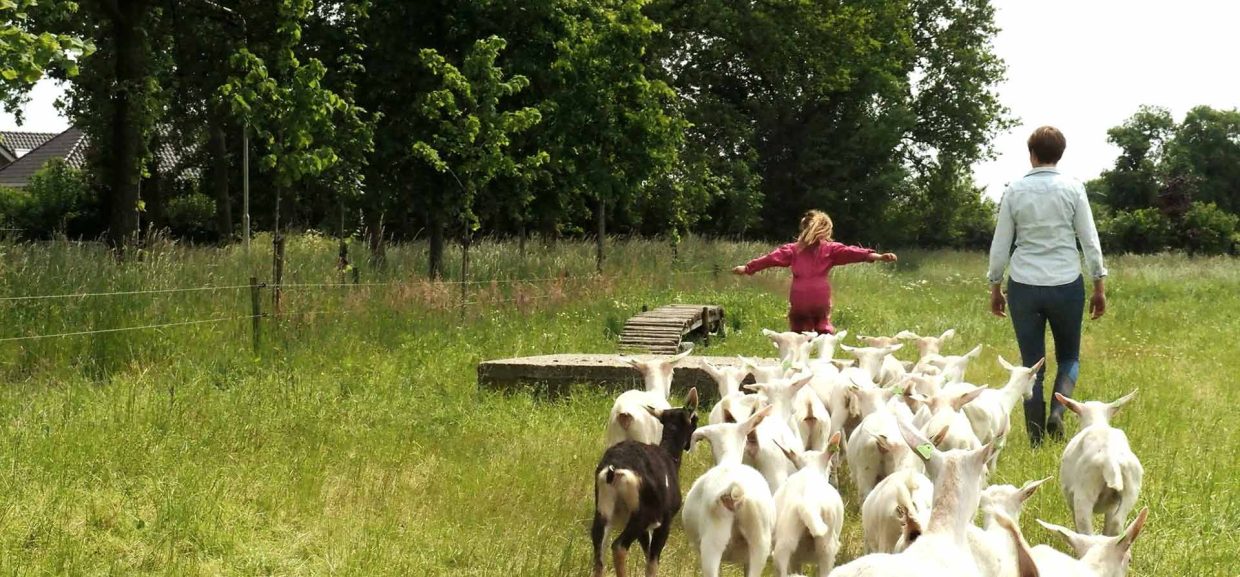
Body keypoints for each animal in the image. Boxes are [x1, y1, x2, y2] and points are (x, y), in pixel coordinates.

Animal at [590, 387, 699, 575]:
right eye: (695, 419)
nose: (689, 446)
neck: (668, 456)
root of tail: (614, 470)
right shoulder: (663, 523)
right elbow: (653, 562)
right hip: (640, 517)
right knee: (619, 546)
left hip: (603, 513)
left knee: (599, 555)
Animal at [768, 431, 848, 575]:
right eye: (830, 467)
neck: (810, 469)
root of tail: (808, 505)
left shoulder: (795, 557)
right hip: (826, 550)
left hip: (786, 542)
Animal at [1056, 389, 1140, 533]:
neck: (1096, 422)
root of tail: (1110, 459)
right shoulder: (1112, 506)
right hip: (1130, 492)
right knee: (1116, 523)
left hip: (1084, 495)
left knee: (1085, 530)